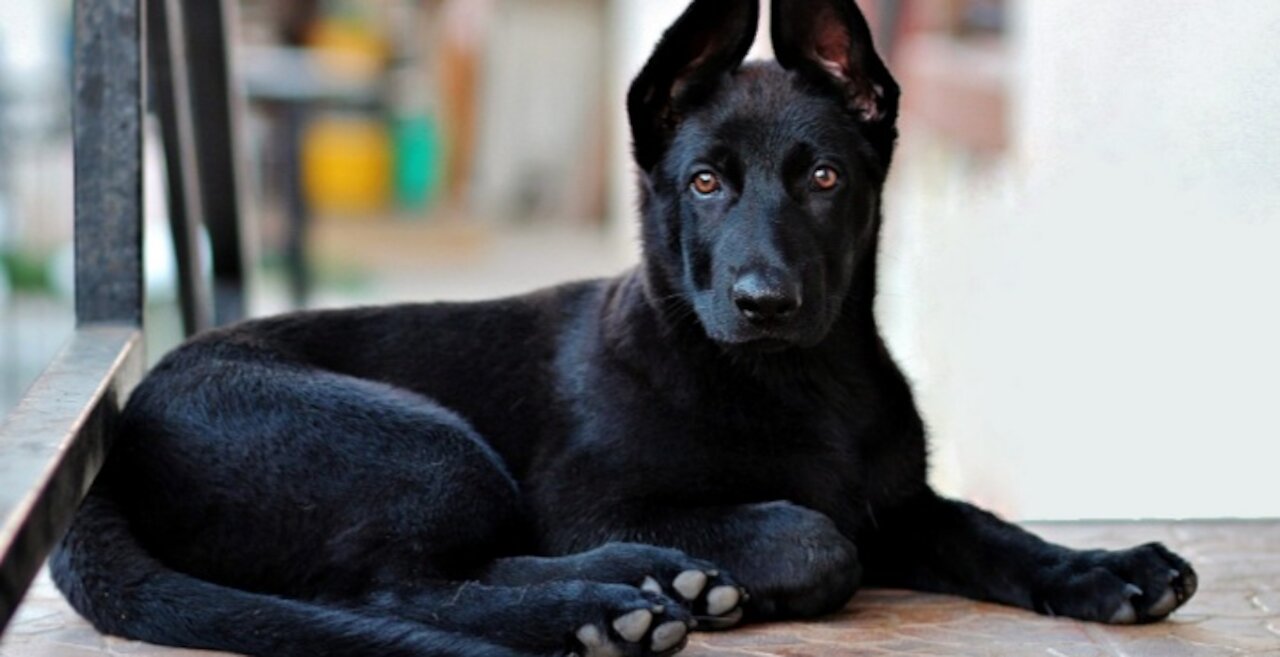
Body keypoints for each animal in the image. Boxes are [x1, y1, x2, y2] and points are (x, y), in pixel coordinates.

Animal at [52, 1, 1198, 655]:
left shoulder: (900, 502)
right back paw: (609, 604)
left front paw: (1102, 569)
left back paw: (647, 589)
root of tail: (114, 451)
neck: (800, 381)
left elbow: (986, 530)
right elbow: (812, 534)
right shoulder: (587, 498)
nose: (764, 300)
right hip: (421, 442)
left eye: (825, 178)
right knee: (393, 584)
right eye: (704, 182)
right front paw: (724, 566)